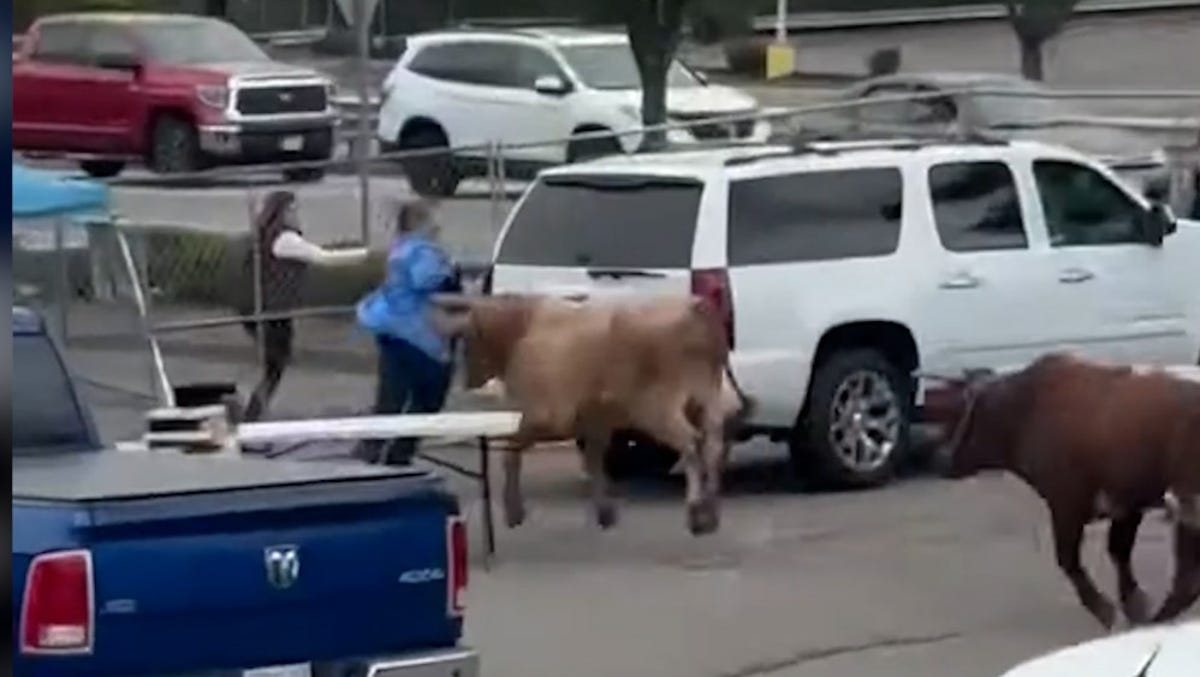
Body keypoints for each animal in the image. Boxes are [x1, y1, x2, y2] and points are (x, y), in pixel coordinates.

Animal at [432, 294, 748, 537]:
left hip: (658, 408)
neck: (525, 329)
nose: (465, 380)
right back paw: (711, 511)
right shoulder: (595, 423)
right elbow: (594, 462)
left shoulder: (543, 417)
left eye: (467, 340)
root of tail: (695, 309)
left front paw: (513, 511)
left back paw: (696, 511)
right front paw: (605, 512)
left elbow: (511, 454)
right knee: (713, 445)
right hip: (707, 399)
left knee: (691, 444)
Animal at [926, 355, 1200, 628]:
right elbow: (1117, 551)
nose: (939, 459)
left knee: (1187, 580)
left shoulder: (1066, 505)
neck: (1026, 408)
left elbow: (1068, 559)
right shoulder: (1127, 506)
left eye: (960, 412)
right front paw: (1133, 604)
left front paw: (1106, 610)